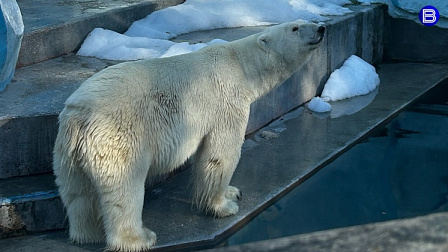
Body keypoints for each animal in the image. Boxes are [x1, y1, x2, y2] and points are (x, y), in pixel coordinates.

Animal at [53, 20, 326, 252]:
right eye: (295, 28)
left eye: (308, 21)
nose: (322, 28)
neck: (241, 66)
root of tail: (81, 116)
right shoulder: (227, 102)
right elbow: (220, 154)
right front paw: (224, 206)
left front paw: (233, 192)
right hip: (120, 136)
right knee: (123, 187)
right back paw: (140, 238)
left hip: (68, 149)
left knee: (78, 193)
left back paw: (88, 234)